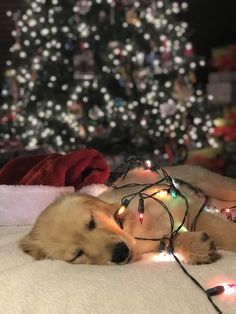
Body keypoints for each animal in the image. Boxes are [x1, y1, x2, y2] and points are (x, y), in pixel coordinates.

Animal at [19, 164, 236, 264]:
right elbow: (170, 241)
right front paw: (197, 246)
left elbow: (224, 232)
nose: (120, 253)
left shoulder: (186, 205)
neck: (130, 229)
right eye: (77, 255)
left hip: (213, 184)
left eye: (91, 221)